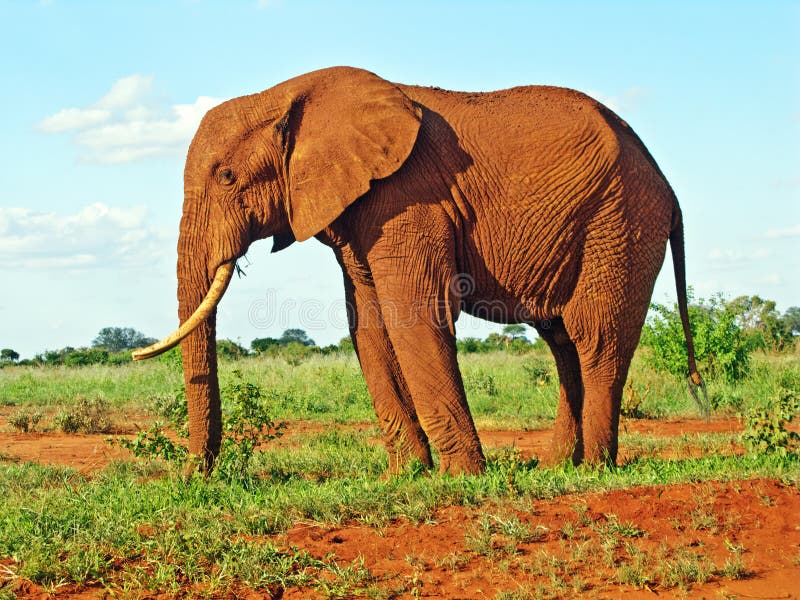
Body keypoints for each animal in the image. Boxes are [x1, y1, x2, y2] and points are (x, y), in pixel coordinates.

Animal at [134, 67, 704, 478]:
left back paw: (592, 471)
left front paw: (463, 478)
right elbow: (369, 326)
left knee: (594, 336)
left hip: (621, 221)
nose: (197, 477)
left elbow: (414, 315)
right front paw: (406, 476)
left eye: (228, 177)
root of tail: (668, 185)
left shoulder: (409, 196)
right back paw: (557, 468)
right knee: (562, 341)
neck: (290, 91)